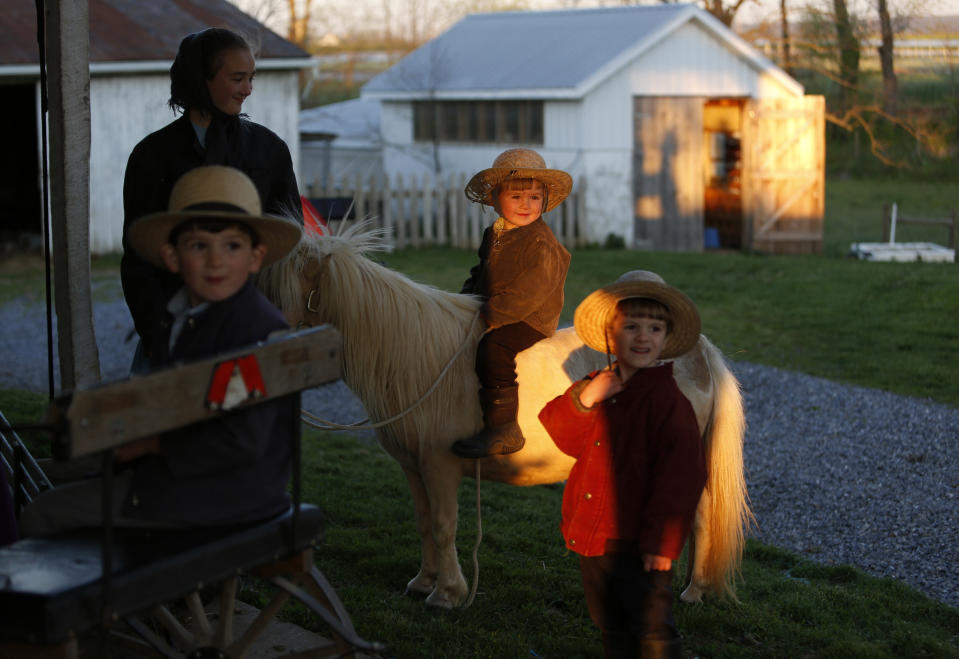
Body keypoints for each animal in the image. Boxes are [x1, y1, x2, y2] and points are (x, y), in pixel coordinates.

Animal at [258, 224, 752, 612]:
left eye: (281, 288)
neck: (414, 354)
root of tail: (696, 350)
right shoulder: (413, 466)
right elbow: (424, 522)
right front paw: (422, 582)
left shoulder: (439, 465)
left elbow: (444, 525)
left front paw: (447, 594)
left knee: (697, 518)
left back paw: (693, 591)